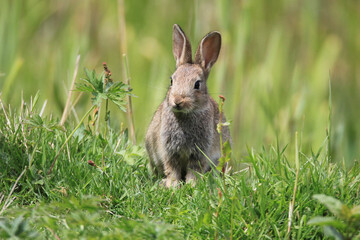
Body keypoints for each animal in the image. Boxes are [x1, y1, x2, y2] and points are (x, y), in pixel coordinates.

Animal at [144, 23, 231, 188]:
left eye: (197, 84)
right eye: (172, 80)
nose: (178, 100)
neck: (185, 115)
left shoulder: (199, 154)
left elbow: (193, 171)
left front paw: (191, 185)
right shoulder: (169, 151)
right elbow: (172, 169)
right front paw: (172, 185)